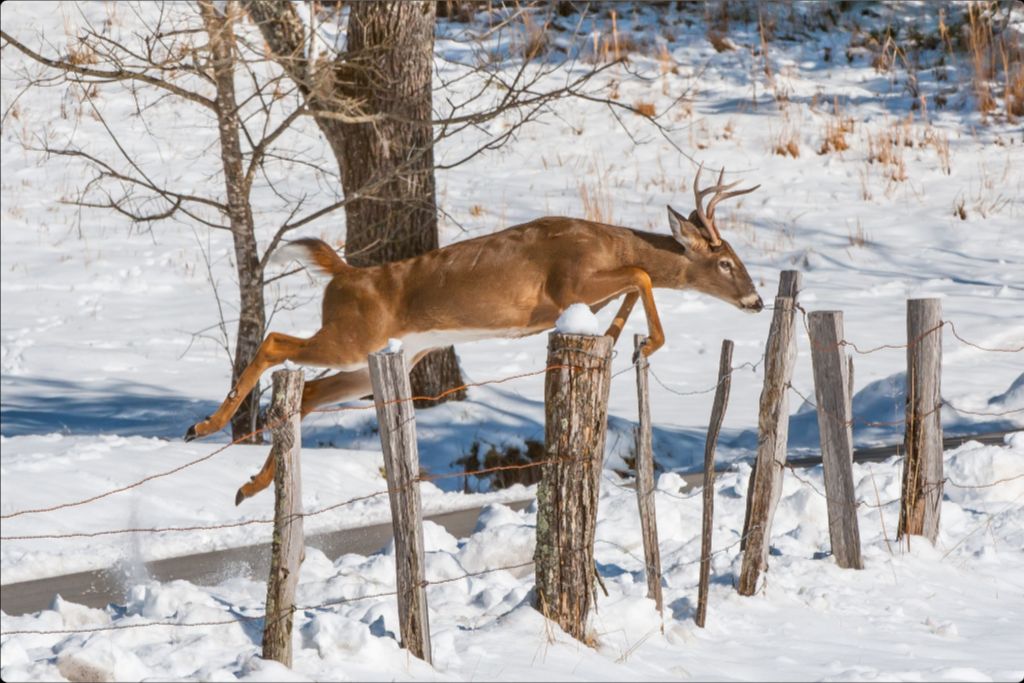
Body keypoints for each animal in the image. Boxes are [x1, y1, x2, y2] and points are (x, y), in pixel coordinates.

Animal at [184, 162, 765, 505]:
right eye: (727, 262)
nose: (757, 301)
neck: (607, 242)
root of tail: (345, 275)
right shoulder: (567, 280)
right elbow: (643, 274)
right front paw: (649, 340)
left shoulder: (580, 292)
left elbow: (634, 284)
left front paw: (622, 336)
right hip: (350, 334)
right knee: (276, 342)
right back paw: (205, 427)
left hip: (376, 359)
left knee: (310, 391)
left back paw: (250, 485)